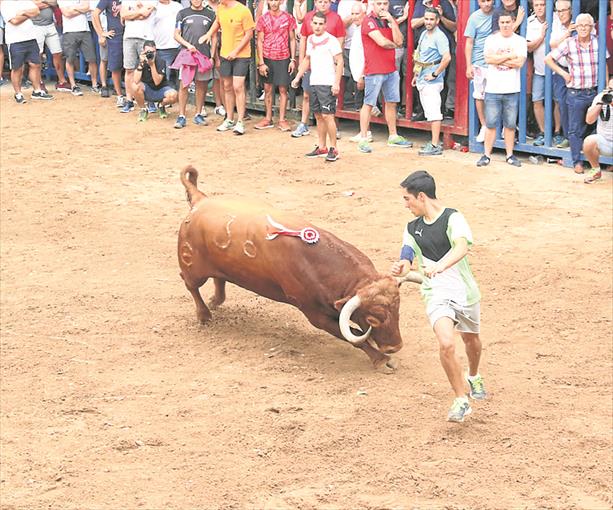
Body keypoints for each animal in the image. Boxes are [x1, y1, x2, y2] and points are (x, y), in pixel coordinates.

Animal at [178, 165, 402, 368]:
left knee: (219, 278)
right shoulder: (314, 315)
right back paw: (204, 315)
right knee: (190, 284)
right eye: (372, 319)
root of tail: (200, 199)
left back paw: (216, 300)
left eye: (398, 309)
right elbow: (350, 335)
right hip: (193, 269)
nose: (395, 347)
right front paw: (381, 359)